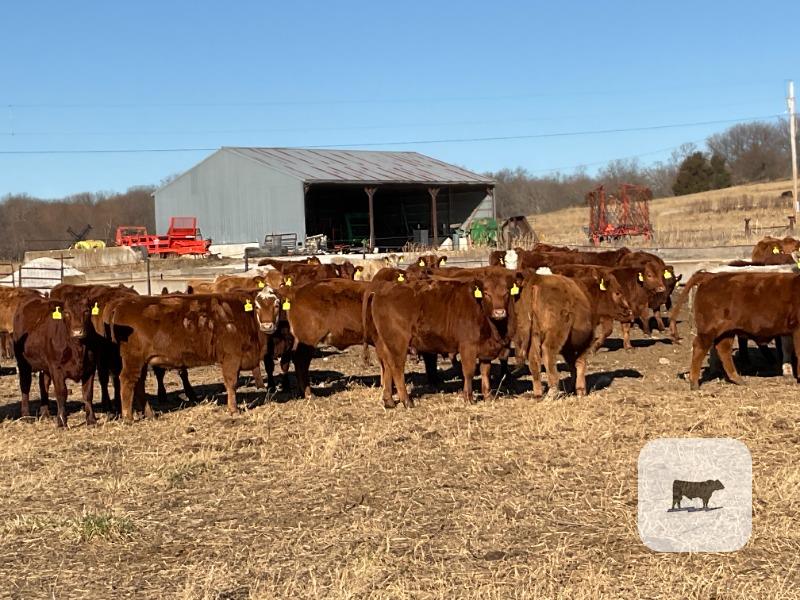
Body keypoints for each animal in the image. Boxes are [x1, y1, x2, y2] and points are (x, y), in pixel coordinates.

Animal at [13, 295, 96, 427]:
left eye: (86, 311)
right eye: (66, 313)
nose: (77, 331)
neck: (78, 348)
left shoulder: (90, 368)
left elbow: (88, 394)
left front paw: (91, 420)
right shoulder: (57, 369)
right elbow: (61, 393)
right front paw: (61, 421)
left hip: (45, 366)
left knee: (44, 385)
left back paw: (45, 414)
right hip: (23, 362)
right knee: (25, 385)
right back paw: (26, 416)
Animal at [104, 291, 273, 423]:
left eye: (276, 304)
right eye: (257, 306)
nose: (268, 325)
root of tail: (122, 303)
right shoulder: (231, 357)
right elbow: (231, 383)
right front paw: (233, 409)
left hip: (143, 362)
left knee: (138, 384)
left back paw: (150, 414)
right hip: (133, 359)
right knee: (127, 381)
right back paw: (128, 417)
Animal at [367, 271, 518, 408]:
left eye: (506, 293)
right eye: (486, 293)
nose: (499, 312)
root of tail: (382, 289)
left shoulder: (485, 349)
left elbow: (485, 371)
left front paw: (488, 396)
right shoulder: (467, 346)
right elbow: (469, 372)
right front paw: (468, 398)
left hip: (385, 344)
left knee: (387, 366)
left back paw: (389, 401)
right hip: (398, 343)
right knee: (397, 369)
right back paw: (407, 401)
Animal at [669, 270, 800, 389]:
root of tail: (710, 275)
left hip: (727, 331)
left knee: (724, 349)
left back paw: (738, 379)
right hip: (709, 329)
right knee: (699, 347)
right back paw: (694, 383)